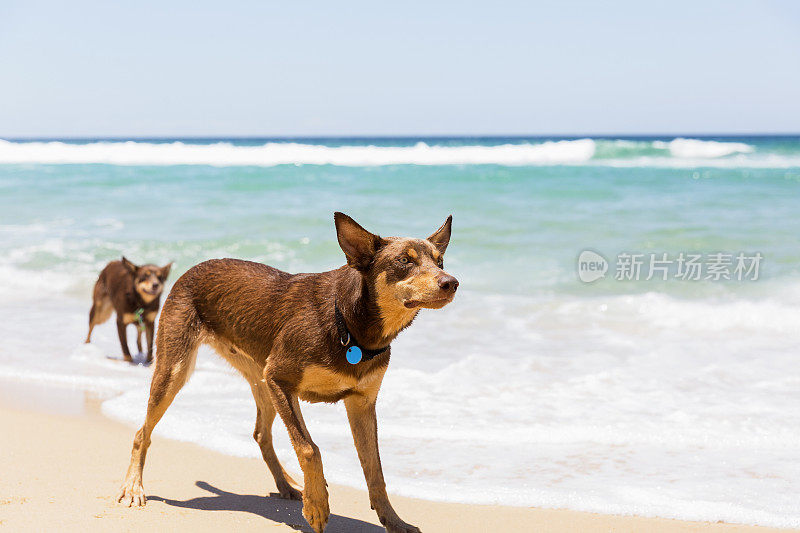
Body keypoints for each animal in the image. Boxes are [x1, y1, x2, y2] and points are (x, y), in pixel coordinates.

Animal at [115, 213, 460, 532]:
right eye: (404, 261)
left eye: (439, 260)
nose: (451, 282)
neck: (352, 326)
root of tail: (190, 270)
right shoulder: (281, 380)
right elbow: (309, 448)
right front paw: (317, 504)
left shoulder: (361, 404)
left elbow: (375, 470)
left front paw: (393, 520)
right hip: (176, 371)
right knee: (142, 432)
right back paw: (133, 487)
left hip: (261, 379)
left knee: (260, 434)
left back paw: (286, 485)